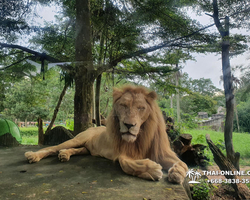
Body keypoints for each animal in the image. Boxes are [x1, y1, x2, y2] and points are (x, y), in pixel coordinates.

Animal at [24, 85, 188, 184]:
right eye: (123, 106)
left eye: (141, 108)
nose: (129, 125)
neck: (141, 136)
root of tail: (93, 128)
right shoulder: (122, 152)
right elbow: (126, 163)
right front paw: (152, 169)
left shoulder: (162, 152)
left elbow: (183, 163)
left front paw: (177, 172)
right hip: (76, 140)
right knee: (52, 148)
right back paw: (33, 155)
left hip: (86, 148)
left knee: (78, 150)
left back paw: (65, 154)